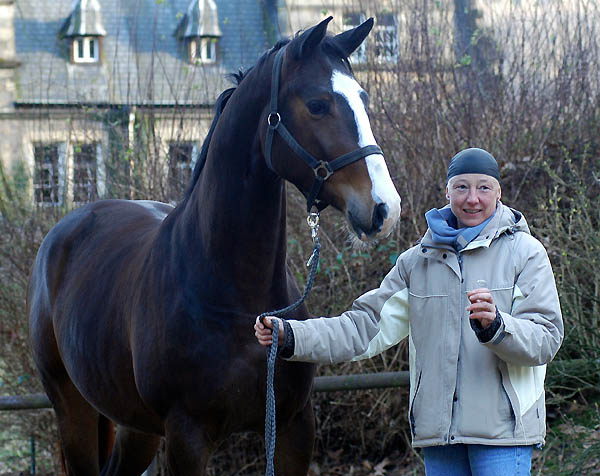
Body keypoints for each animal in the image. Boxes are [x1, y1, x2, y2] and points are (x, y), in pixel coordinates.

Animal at [29, 15, 404, 476]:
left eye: (363, 99)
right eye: (318, 104)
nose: (385, 207)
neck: (237, 300)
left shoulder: (295, 428)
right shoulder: (187, 439)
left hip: (136, 427)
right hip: (74, 410)